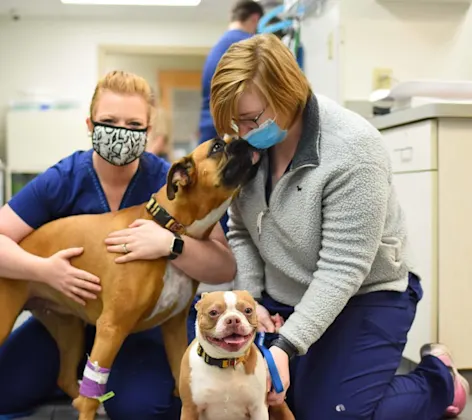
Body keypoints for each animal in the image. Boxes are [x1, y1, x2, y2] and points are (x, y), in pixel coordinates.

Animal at [0, 136, 258, 418]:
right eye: (217, 147)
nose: (245, 140)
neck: (168, 227)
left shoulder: (174, 328)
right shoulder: (111, 329)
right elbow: (91, 394)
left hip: (69, 330)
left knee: (66, 378)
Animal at [179, 290, 294, 420]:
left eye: (248, 310)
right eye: (213, 312)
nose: (233, 319)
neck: (226, 361)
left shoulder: (258, 409)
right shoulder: (190, 409)